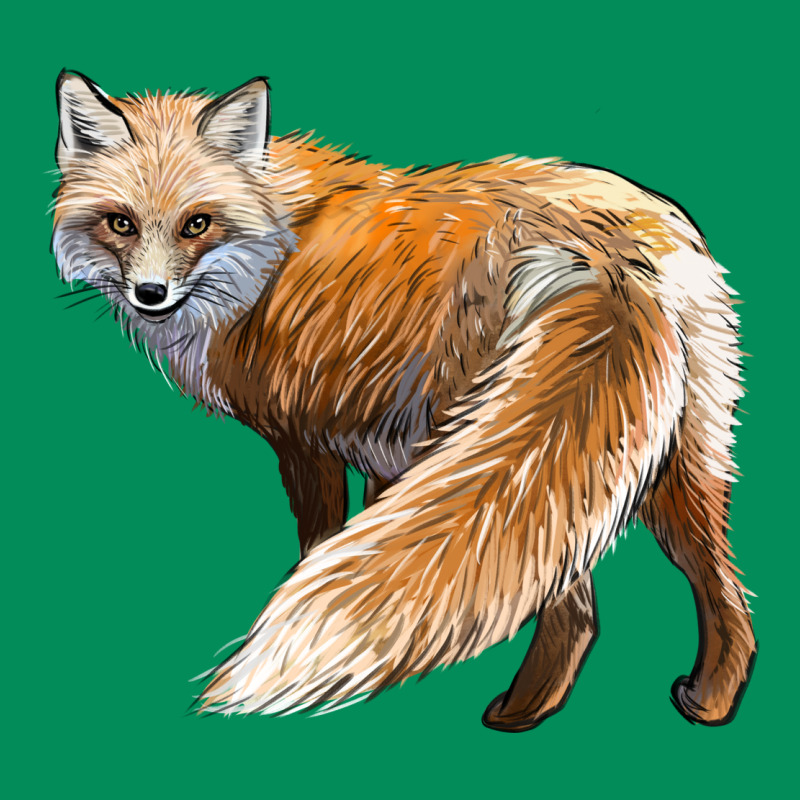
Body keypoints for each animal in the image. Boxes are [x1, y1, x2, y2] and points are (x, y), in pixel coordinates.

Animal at [52, 70, 757, 731]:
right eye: (121, 223)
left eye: (196, 223)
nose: (150, 293)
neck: (271, 247)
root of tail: (604, 254)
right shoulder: (383, 448)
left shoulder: (304, 439)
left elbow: (321, 545)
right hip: (664, 457)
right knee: (715, 588)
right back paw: (707, 702)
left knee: (573, 605)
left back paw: (517, 714)